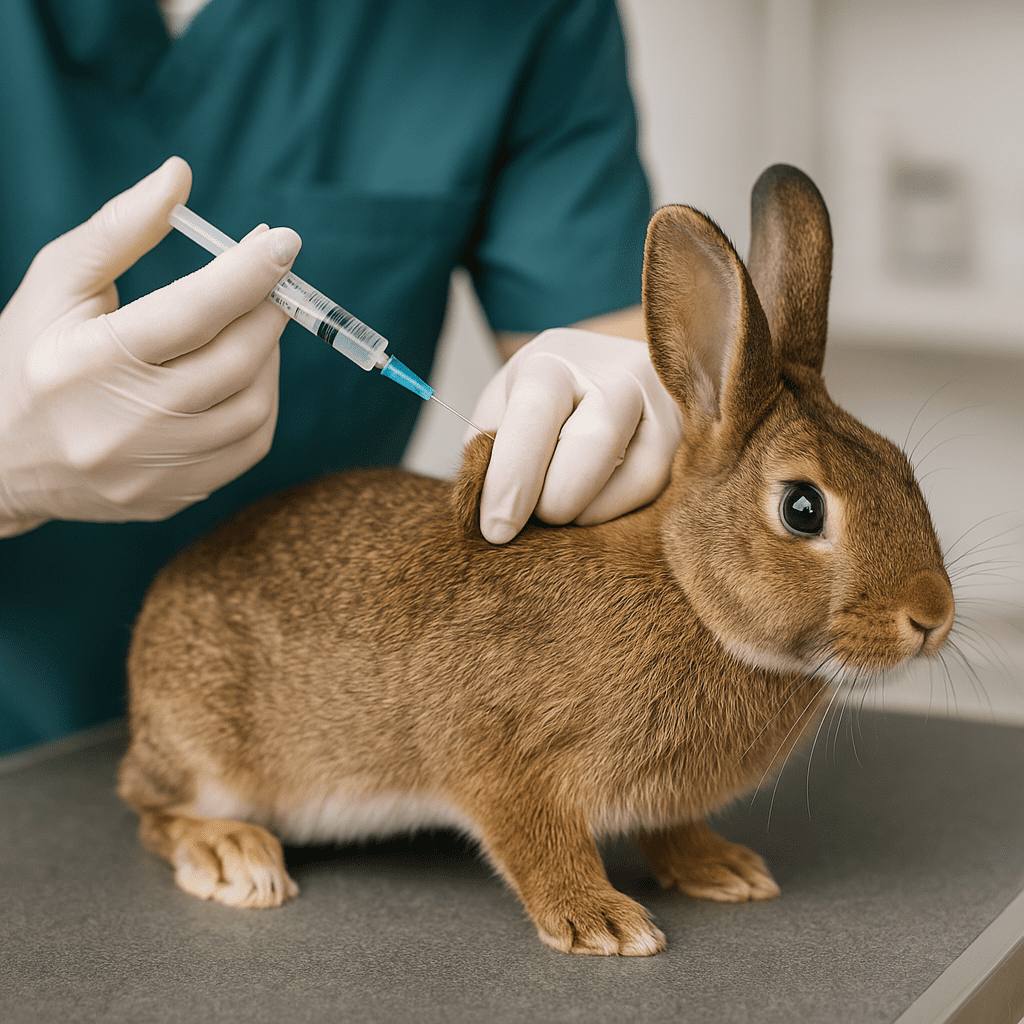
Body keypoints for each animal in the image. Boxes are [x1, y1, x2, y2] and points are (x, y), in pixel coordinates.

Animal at [118, 165, 955, 956]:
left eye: (901, 467)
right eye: (803, 509)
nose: (932, 617)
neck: (689, 593)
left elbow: (670, 830)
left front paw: (721, 868)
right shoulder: (501, 758)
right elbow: (537, 844)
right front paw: (601, 922)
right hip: (207, 752)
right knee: (149, 806)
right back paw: (231, 855)